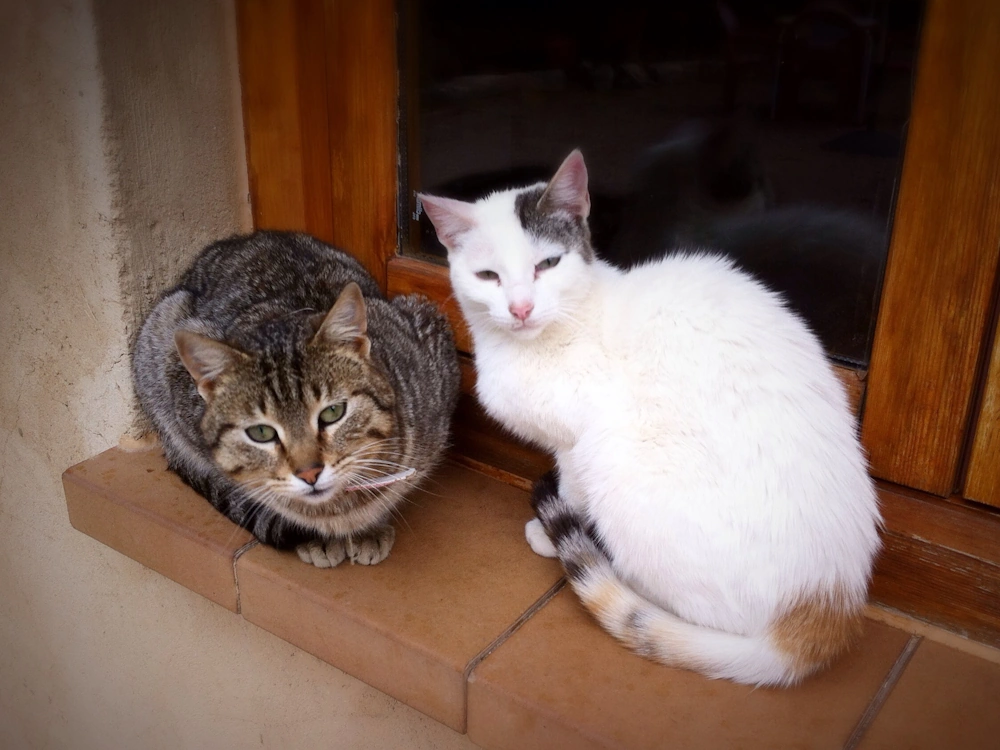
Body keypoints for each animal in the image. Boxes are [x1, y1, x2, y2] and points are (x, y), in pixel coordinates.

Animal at [132, 232, 460, 568]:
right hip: (159, 333)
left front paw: (370, 527)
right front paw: (319, 535)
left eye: (333, 412)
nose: (309, 473)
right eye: (260, 433)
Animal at [418, 151, 880, 688]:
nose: (521, 308)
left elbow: (571, 488)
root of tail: (824, 609)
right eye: (488, 276)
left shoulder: (577, 443)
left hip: (617, 459)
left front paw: (552, 532)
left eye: (547, 264)